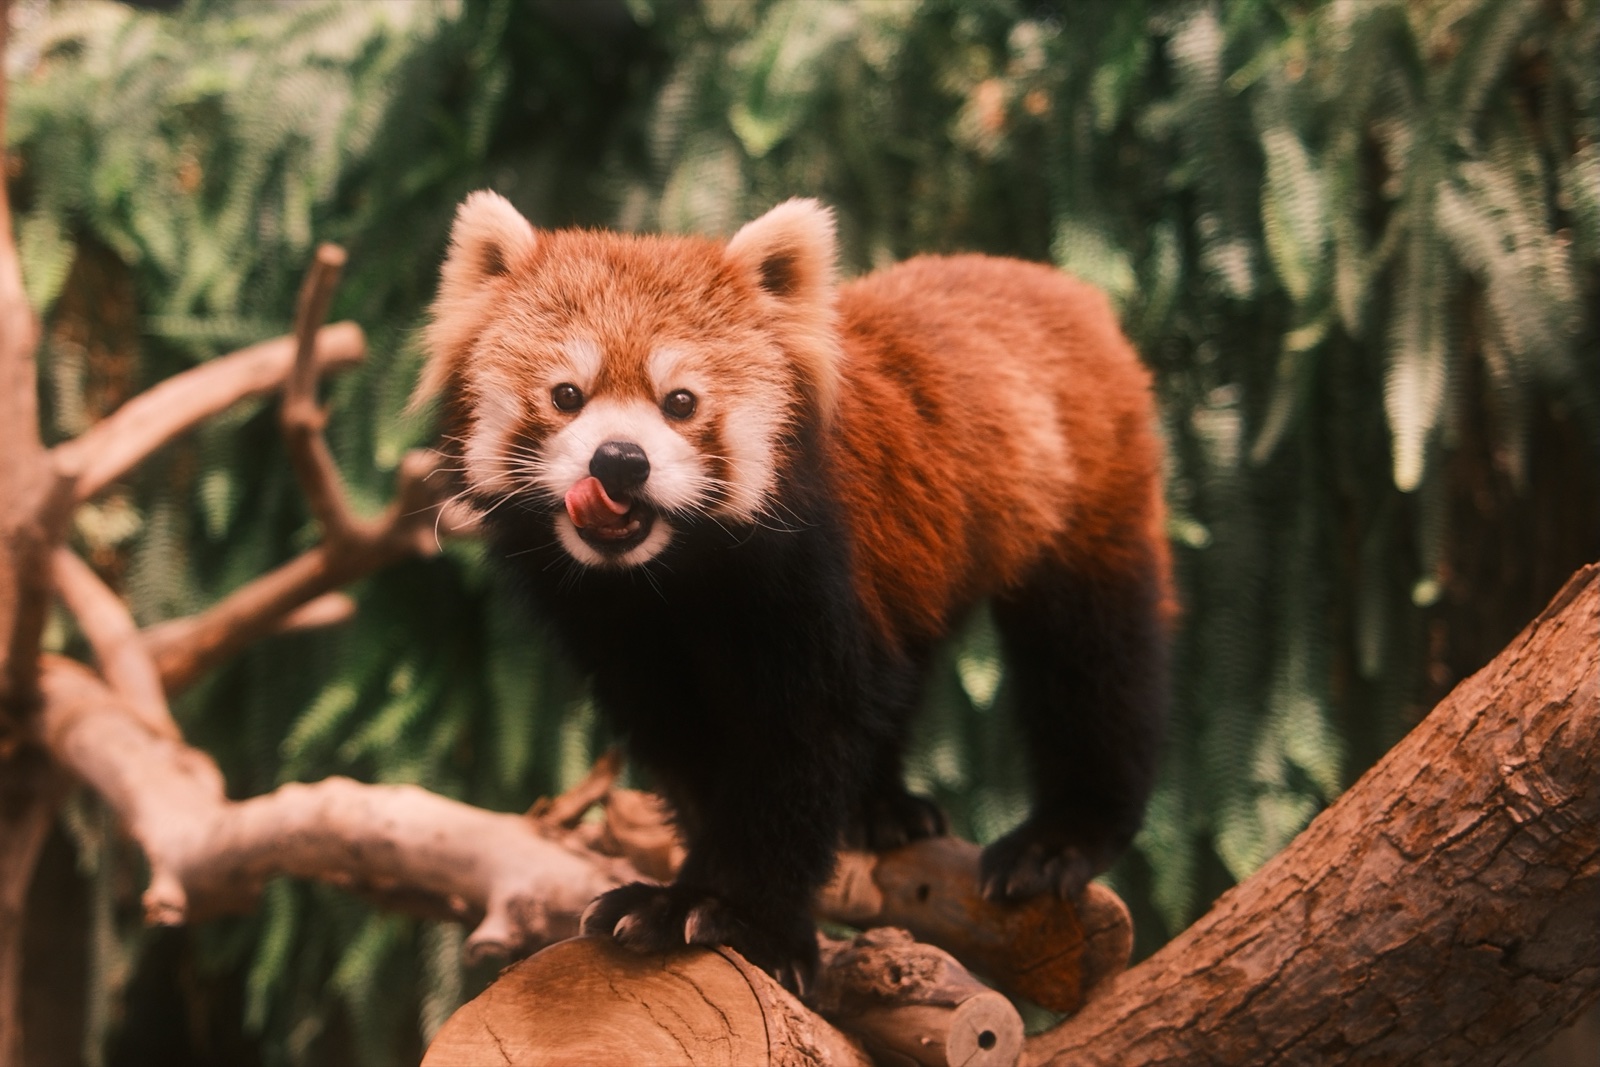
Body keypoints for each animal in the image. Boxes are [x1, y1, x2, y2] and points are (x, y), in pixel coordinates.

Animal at [417, 192, 1172, 992]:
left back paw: (1063, 836)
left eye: (680, 402)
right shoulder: (619, 631)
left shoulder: (811, 580)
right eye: (566, 395)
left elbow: (805, 743)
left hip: (1086, 494)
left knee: (1094, 660)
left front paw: (732, 913)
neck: (674, 574)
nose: (619, 460)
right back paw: (883, 808)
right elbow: (693, 751)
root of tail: (1052, 282)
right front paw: (696, 887)